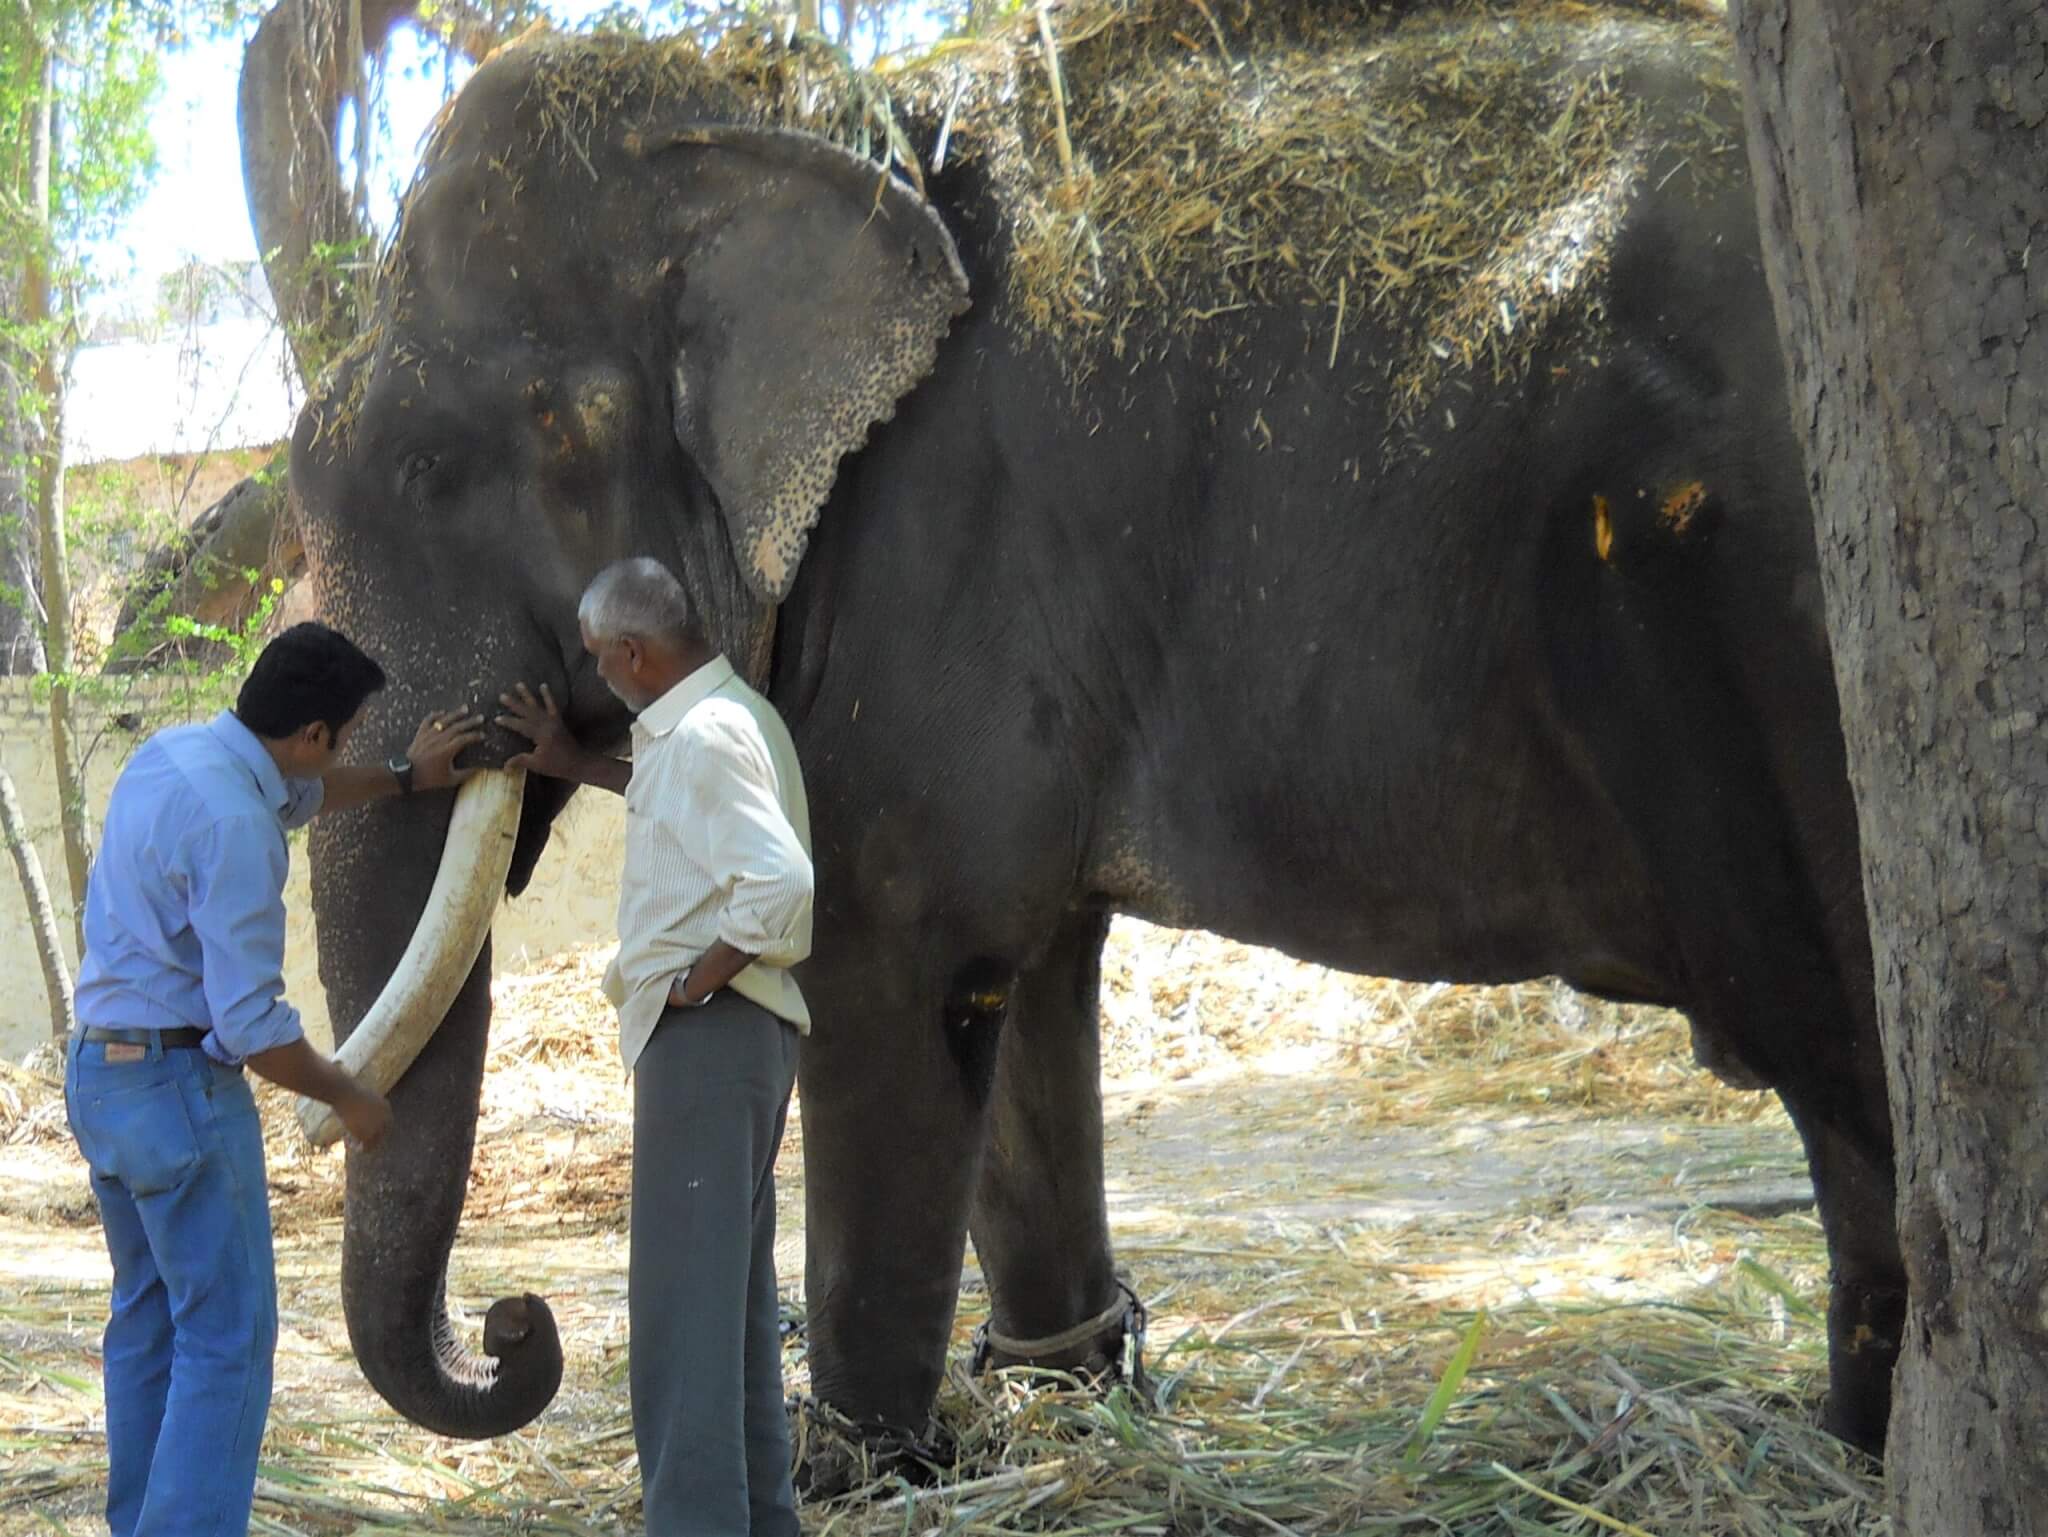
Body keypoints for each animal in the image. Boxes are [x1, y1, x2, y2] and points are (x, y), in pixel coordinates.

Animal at [288, 0, 1900, 1467]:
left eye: (430, 469)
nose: (514, 1323)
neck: (809, 116)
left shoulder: (940, 548)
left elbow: (890, 952)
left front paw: (864, 1464)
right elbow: (1020, 985)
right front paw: (1072, 1403)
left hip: (1758, 638)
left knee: (1854, 1069)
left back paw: (1843, 1442)